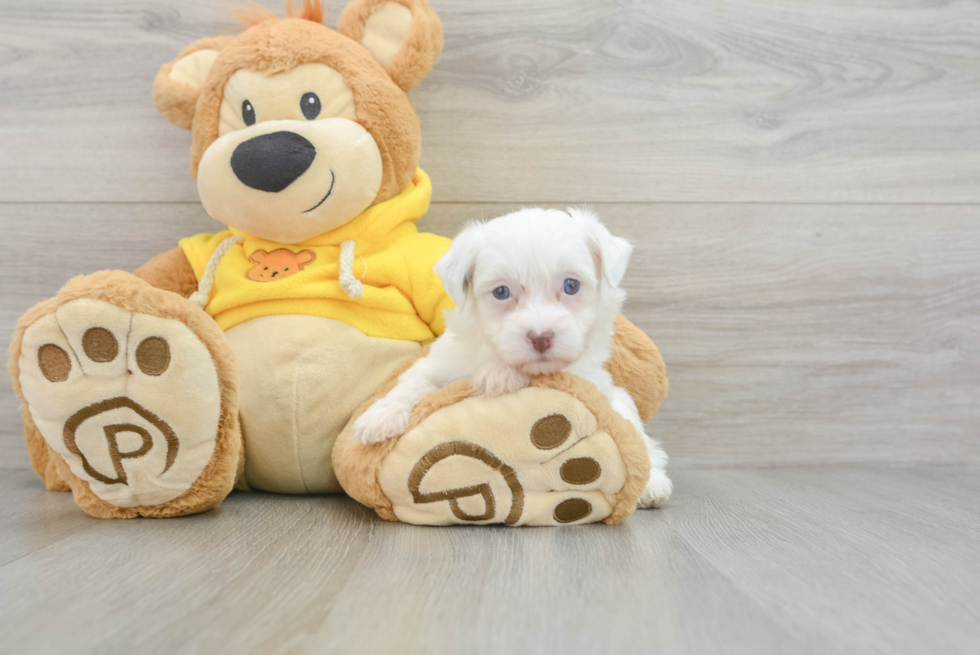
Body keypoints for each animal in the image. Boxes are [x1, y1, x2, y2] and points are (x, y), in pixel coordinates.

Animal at [352, 208, 672, 510]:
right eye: (501, 292)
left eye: (571, 286)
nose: (541, 337)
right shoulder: (442, 361)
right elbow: (415, 382)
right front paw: (378, 418)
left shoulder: (588, 379)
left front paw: (501, 375)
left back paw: (652, 484)